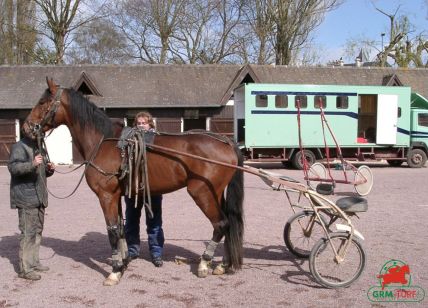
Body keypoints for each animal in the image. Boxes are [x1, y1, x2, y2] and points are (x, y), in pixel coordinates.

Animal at [22, 77, 244, 286]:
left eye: (42, 102)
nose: (26, 127)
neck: (103, 142)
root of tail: (226, 142)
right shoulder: (116, 197)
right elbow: (121, 230)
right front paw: (123, 263)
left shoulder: (106, 197)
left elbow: (112, 231)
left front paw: (114, 271)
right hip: (216, 194)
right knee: (229, 224)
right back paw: (223, 265)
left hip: (202, 193)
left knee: (221, 224)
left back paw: (205, 263)